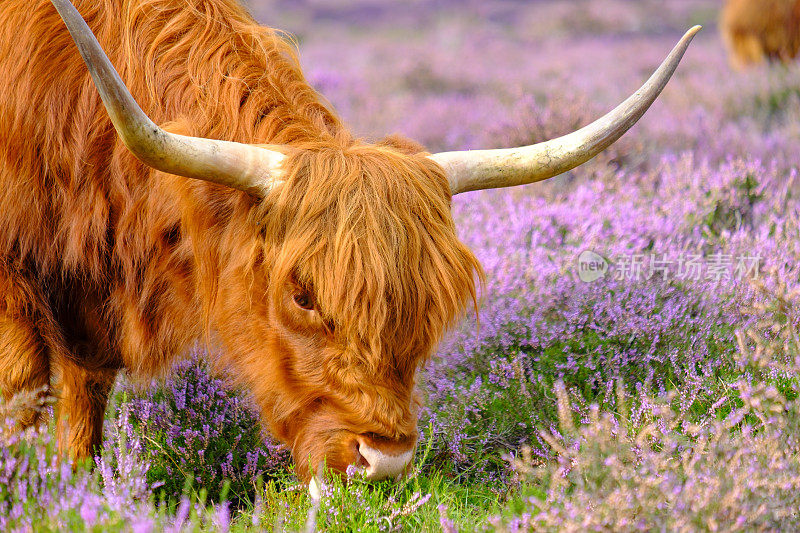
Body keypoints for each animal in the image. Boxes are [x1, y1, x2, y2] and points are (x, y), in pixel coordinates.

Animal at [0, 0, 700, 482]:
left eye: (431, 305)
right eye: (303, 296)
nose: (382, 460)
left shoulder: (87, 313)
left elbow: (81, 416)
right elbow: (22, 396)